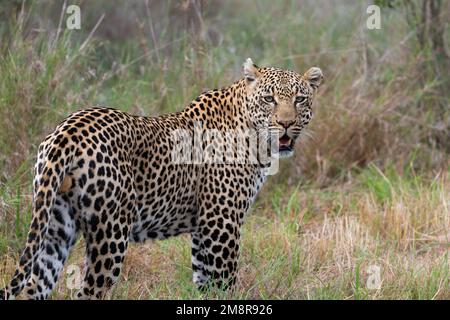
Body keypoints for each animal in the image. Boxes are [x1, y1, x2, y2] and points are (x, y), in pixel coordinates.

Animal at [0, 58, 324, 300]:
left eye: (299, 100)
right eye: (269, 99)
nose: (286, 123)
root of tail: (67, 130)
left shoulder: (203, 229)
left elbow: (205, 283)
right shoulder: (221, 223)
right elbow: (225, 283)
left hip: (54, 226)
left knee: (34, 285)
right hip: (110, 233)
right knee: (88, 292)